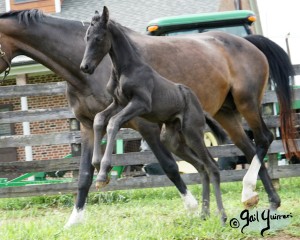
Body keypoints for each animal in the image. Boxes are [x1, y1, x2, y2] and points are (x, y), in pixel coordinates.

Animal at [81, 7, 226, 225]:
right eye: (86, 37)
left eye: (98, 38)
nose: (85, 67)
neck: (125, 68)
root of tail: (200, 107)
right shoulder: (118, 103)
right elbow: (99, 119)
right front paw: (98, 166)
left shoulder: (140, 104)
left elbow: (113, 123)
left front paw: (103, 173)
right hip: (172, 140)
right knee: (201, 167)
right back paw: (203, 214)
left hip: (193, 134)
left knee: (213, 166)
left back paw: (222, 216)